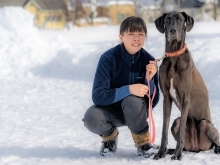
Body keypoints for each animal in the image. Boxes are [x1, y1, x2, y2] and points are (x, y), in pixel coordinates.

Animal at [153, 11, 220, 160]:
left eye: (180, 19)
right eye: (167, 19)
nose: (172, 30)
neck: (174, 56)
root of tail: (197, 148)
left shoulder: (185, 98)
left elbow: (182, 132)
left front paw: (178, 155)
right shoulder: (166, 98)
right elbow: (164, 130)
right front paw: (161, 152)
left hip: (207, 125)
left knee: (215, 141)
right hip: (175, 123)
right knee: (177, 126)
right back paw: (171, 150)